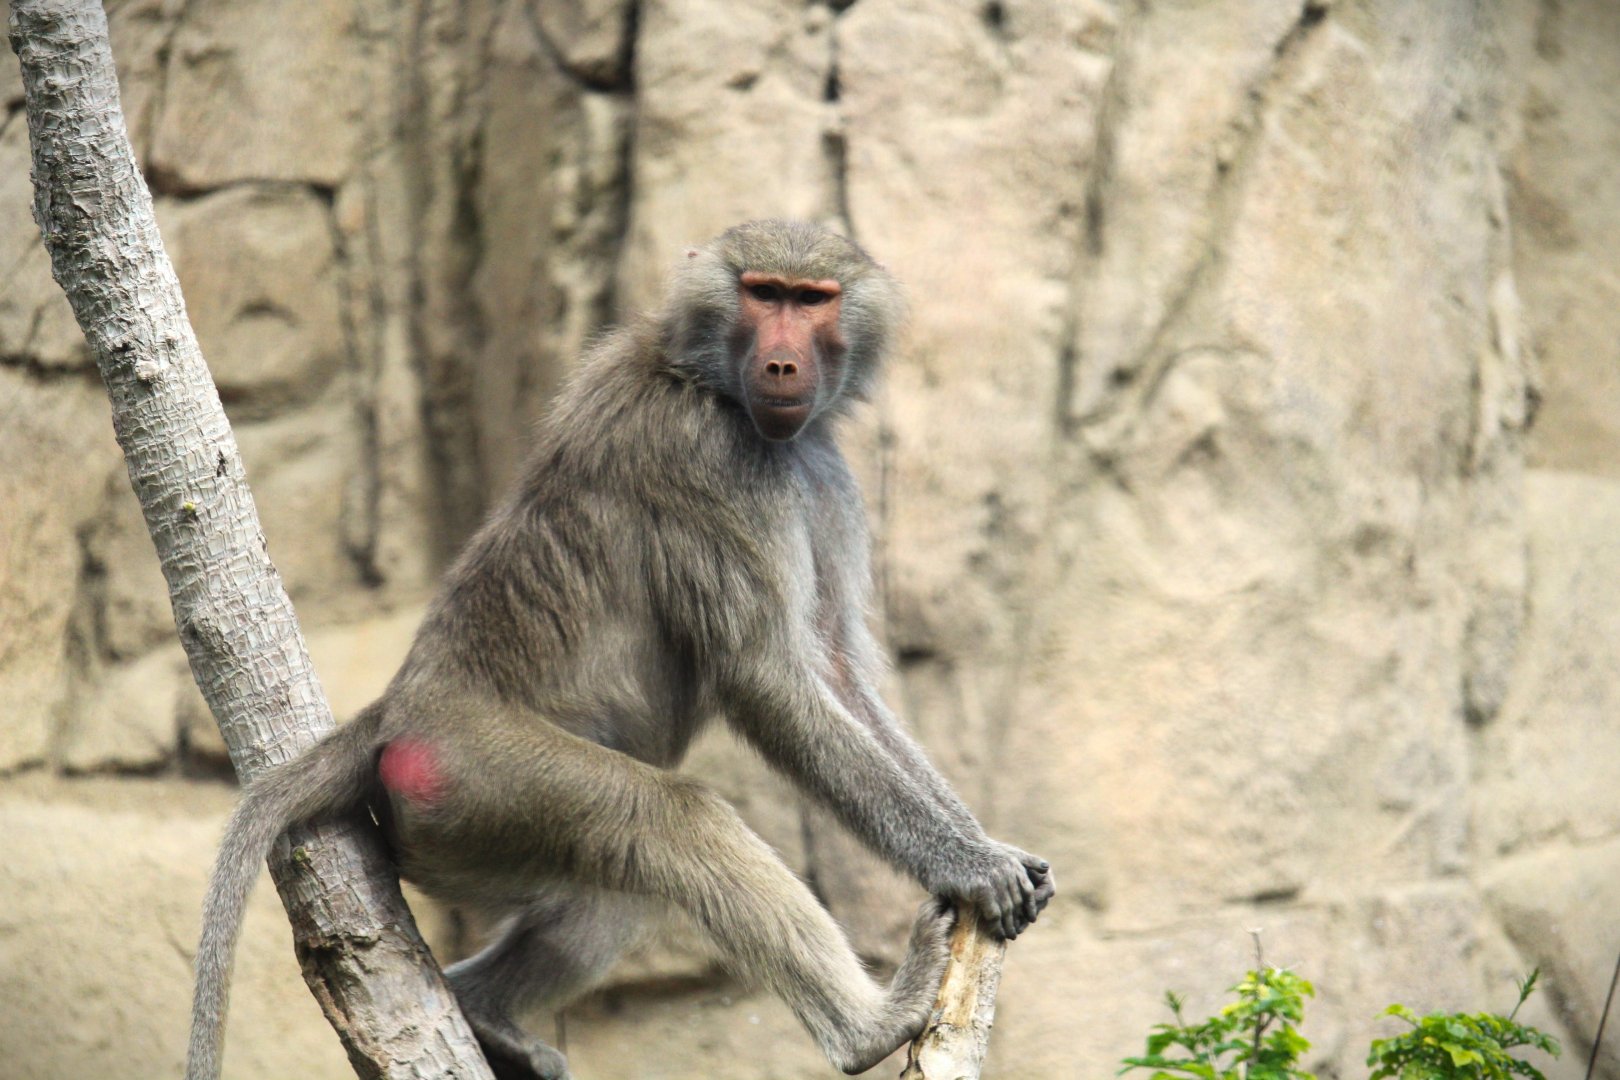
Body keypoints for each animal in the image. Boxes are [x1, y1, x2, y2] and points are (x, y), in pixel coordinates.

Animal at [185, 219, 1055, 1080]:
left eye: (813, 299)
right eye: (762, 293)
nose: (781, 363)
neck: (707, 381)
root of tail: (403, 703)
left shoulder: (822, 471)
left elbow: (839, 671)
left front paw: (988, 845)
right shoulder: (709, 461)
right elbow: (770, 679)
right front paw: (968, 866)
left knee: (621, 887)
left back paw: (484, 1015)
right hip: (479, 774)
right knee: (675, 820)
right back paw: (871, 1027)